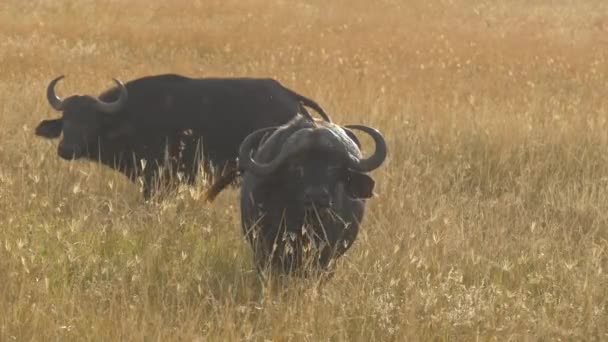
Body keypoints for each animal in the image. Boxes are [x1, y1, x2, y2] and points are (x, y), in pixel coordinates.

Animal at [35, 73, 330, 199]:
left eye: (90, 122)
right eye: (66, 121)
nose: (66, 149)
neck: (132, 116)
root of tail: (290, 96)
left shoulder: (158, 181)